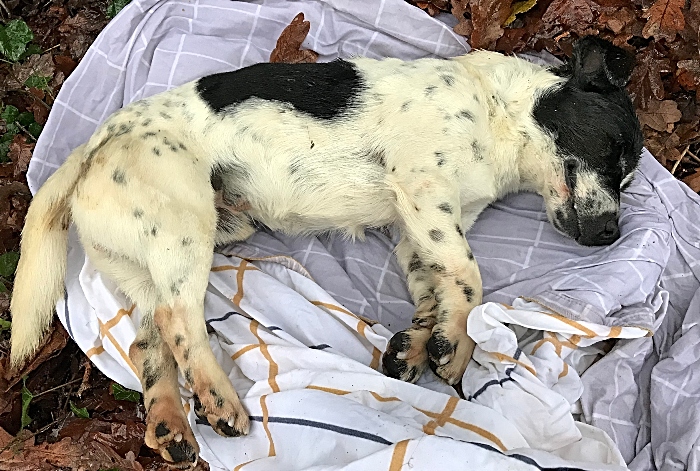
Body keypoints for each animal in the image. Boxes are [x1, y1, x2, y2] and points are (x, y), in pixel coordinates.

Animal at [10, 36, 644, 468]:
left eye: (629, 175)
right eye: (615, 151)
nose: (611, 235)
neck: (496, 112)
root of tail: (96, 144)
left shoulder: (416, 231)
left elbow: (433, 291)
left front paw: (420, 345)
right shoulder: (425, 193)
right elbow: (468, 276)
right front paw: (459, 347)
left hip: (164, 253)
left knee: (150, 341)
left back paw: (169, 423)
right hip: (187, 228)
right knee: (179, 320)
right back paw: (219, 401)